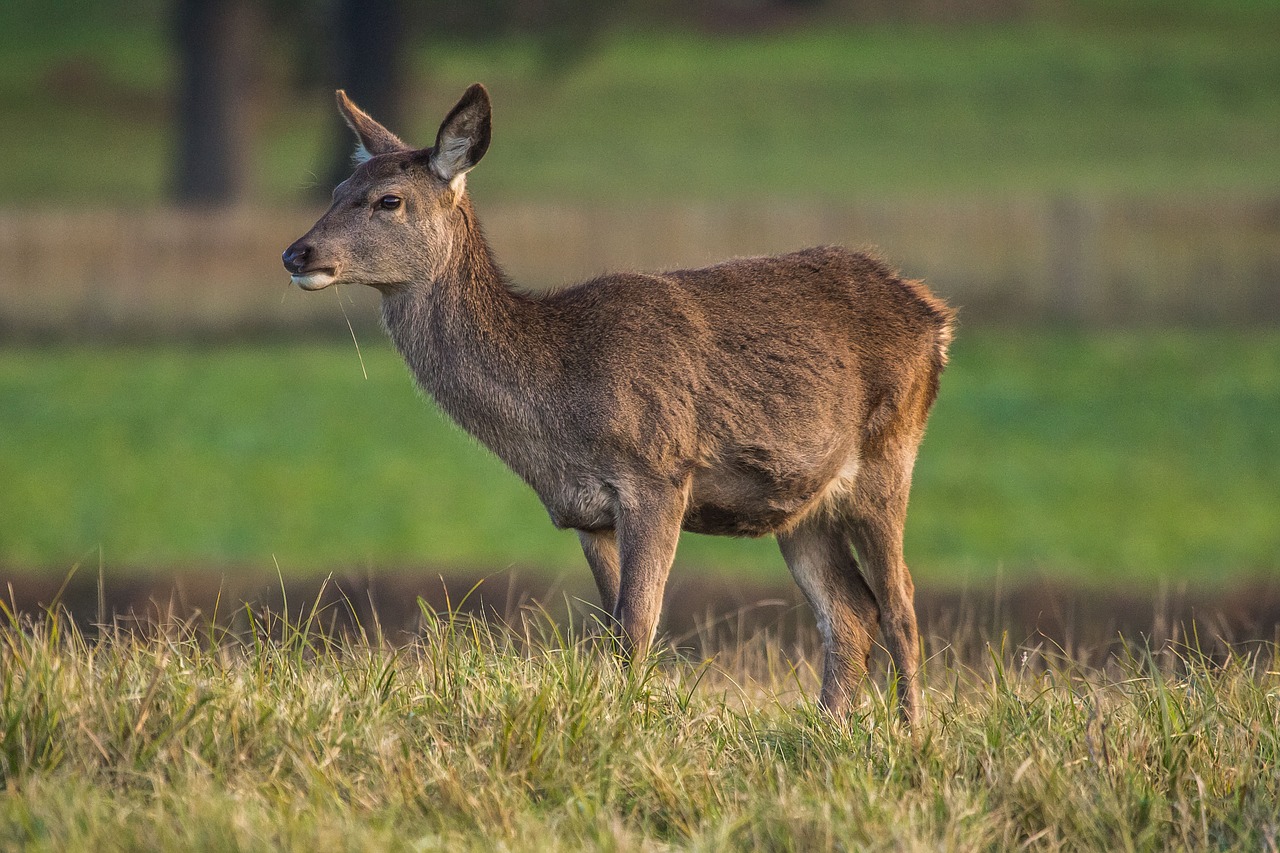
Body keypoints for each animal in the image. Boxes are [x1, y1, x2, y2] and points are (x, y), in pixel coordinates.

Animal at [285, 84, 957, 722]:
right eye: (338, 188)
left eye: (389, 200)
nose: (297, 253)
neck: (558, 399)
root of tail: (935, 317)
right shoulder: (588, 514)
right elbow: (612, 632)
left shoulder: (659, 475)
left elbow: (637, 628)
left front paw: (629, 730)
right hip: (801, 503)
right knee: (849, 612)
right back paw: (827, 730)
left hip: (890, 452)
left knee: (900, 606)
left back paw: (908, 733)